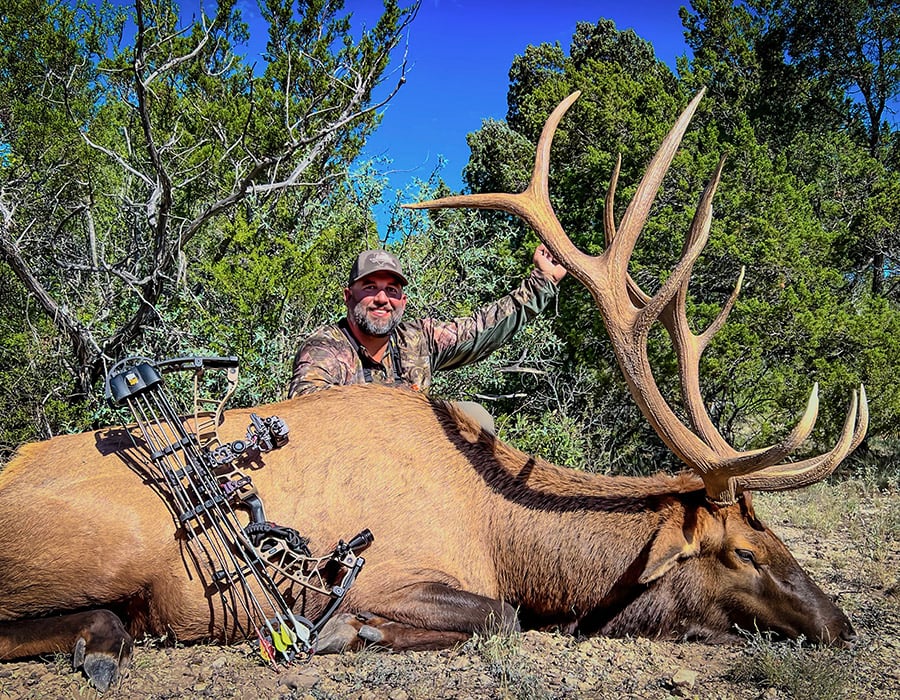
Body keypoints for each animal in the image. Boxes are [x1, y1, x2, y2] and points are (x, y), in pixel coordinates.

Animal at [0, 90, 867, 692]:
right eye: (744, 551)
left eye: (777, 534)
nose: (843, 625)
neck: (511, 539)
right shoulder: (379, 573)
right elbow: (501, 617)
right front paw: (355, 634)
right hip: (110, 546)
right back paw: (99, 646)